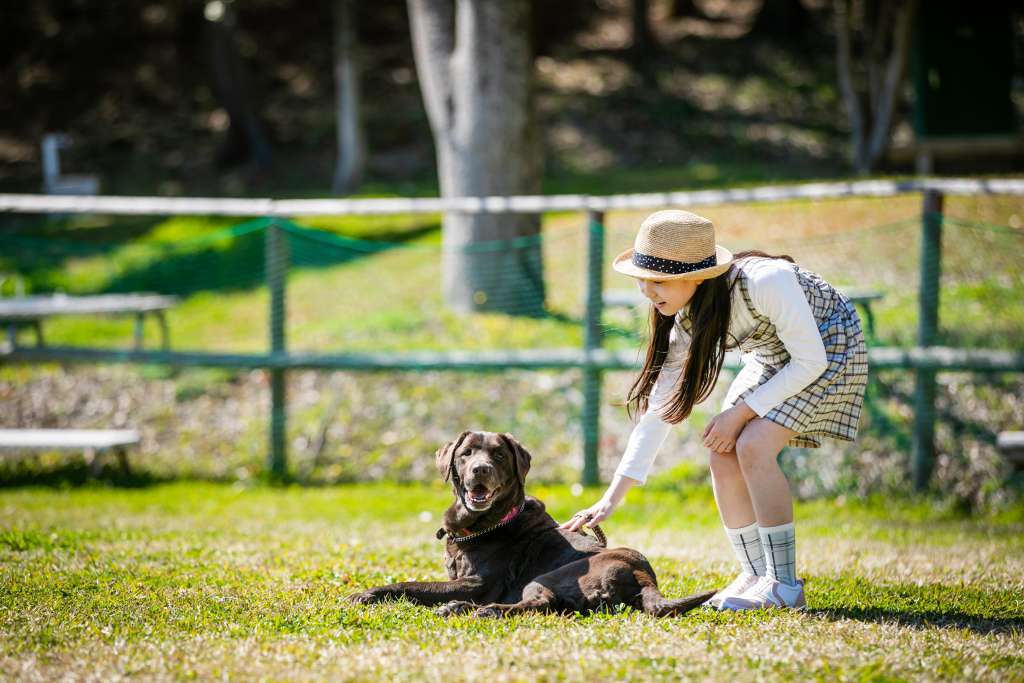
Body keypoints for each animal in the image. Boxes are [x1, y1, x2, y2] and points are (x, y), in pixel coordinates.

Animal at [348, 432, 716, 618]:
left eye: (498, 455)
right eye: (466, 454)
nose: (480, 469)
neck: (489, 523)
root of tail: (644, 575)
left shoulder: (476, 584)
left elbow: (412, 584)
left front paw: (367, 593)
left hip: (546, 577)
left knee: (538, 604)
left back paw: (471, 610)